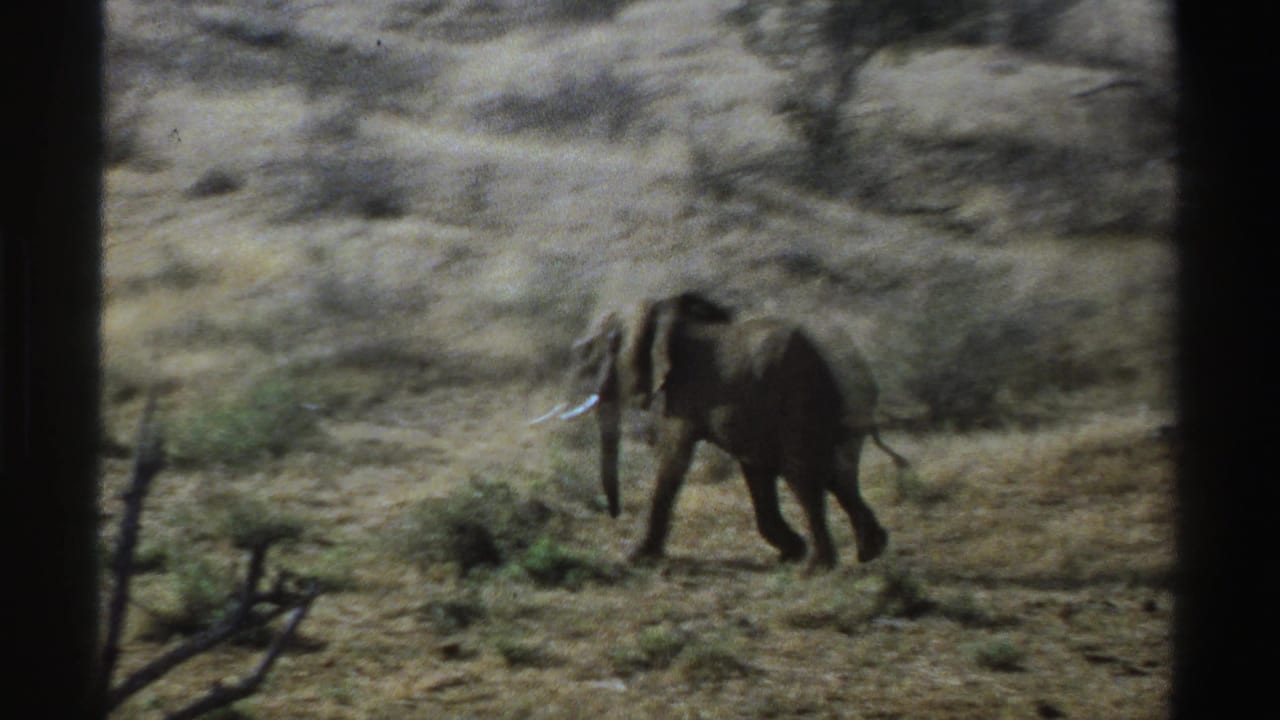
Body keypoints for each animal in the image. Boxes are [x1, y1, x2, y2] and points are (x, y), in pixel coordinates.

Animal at [536, 291, 909, 571]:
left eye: (590, 357)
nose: (613, 514)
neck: (663, 311)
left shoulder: (684, 393)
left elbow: (674, 456)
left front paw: (636, 556)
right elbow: (755, 468)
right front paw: (789, 551)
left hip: (798, 393)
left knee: (802, 474)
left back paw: (818, 568)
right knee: (835, 474)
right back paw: (870, 550)